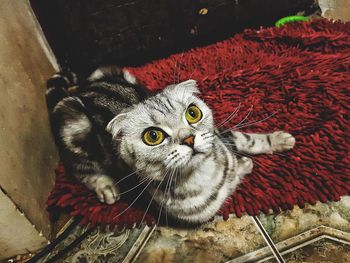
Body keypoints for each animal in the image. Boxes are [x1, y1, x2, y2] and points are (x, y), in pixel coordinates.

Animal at [45, 66, 294, 225]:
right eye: (153, 136)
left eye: (193, 113)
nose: (189, 139)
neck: (207, 175)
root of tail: (84, 90)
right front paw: (246, 165)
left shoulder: (219, 135)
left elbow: (247, 140)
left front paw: (278, 140)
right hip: (75, 126)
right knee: (80, 169)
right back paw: (105, 187)